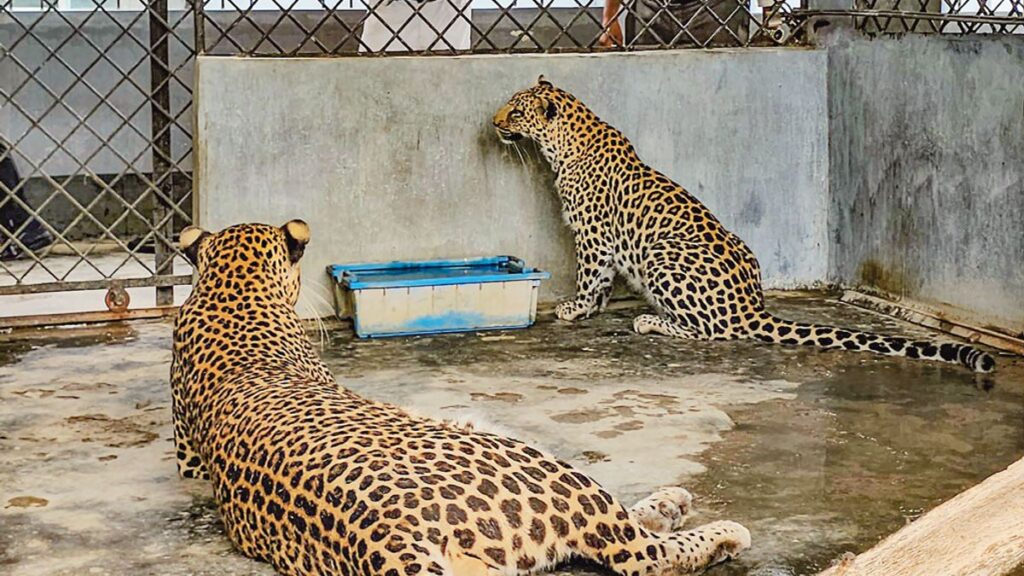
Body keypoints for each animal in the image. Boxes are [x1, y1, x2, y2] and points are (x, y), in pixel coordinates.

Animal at [170, 220, 751, 576]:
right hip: (541, 467)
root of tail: (386, 537)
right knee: (644, 551)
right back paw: (713, 528)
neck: (231, 293)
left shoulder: (190, 464)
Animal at [492, 76, 996, 373]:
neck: (564, 143)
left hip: (662, 254)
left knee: (715, 331)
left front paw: (577, 309)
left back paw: (650, 321)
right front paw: (590, 310)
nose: (493, 123)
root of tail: (752, 306)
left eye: (515, 112)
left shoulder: (594, 236)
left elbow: (591, 277)